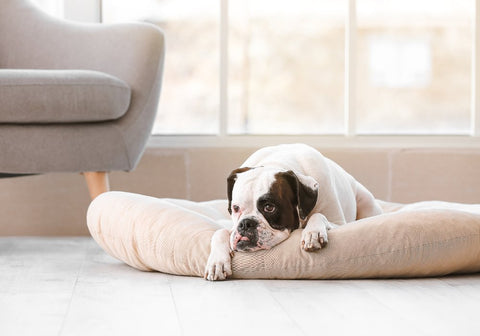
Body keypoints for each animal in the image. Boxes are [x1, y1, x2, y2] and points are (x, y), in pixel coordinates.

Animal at [203, 144, 382, 280]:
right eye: (235, 208)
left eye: (269, 207)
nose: (246, 223)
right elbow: (219, 232)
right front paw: (217, 262)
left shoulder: (339, 222)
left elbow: (319, 215)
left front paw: (313, 233)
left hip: (367, 202)